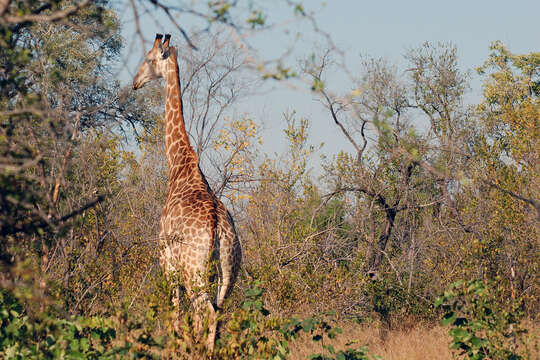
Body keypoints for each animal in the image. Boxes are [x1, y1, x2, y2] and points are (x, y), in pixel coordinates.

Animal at [132, 33, 242, 352]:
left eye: (148, 59)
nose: (135, 82)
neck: (179, 164)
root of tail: (218, 228)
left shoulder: (165, 257)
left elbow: (174, 312)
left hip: (194, 272)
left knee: (204, 311)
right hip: (228, 272)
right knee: (218, 312)